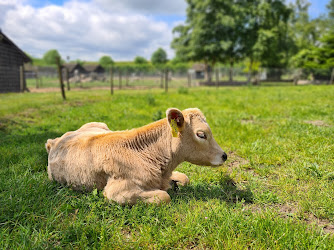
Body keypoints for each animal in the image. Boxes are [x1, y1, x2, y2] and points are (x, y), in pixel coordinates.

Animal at [45, 108, 227, 205]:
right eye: (201, 134)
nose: (224, 155)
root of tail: (53, 141)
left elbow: (184, 178)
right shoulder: (116, 192)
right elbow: (164, 196)